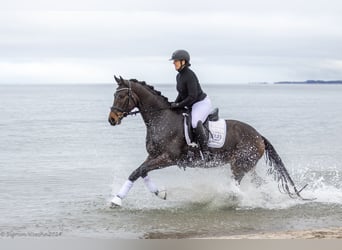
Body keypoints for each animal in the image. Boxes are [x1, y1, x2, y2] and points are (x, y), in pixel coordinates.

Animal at [108, 76, 312, 207]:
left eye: (121, 96)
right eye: (114, 95)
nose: (112, 119)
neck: (161, 119)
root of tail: (259, 136)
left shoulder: (167, 158)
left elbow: (138, 171)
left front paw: (117, 200)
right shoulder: (153, 156)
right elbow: (139, 172)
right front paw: (159, 193)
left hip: (239, 165)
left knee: (235, 186)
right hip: (248, 165)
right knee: (259, 184)